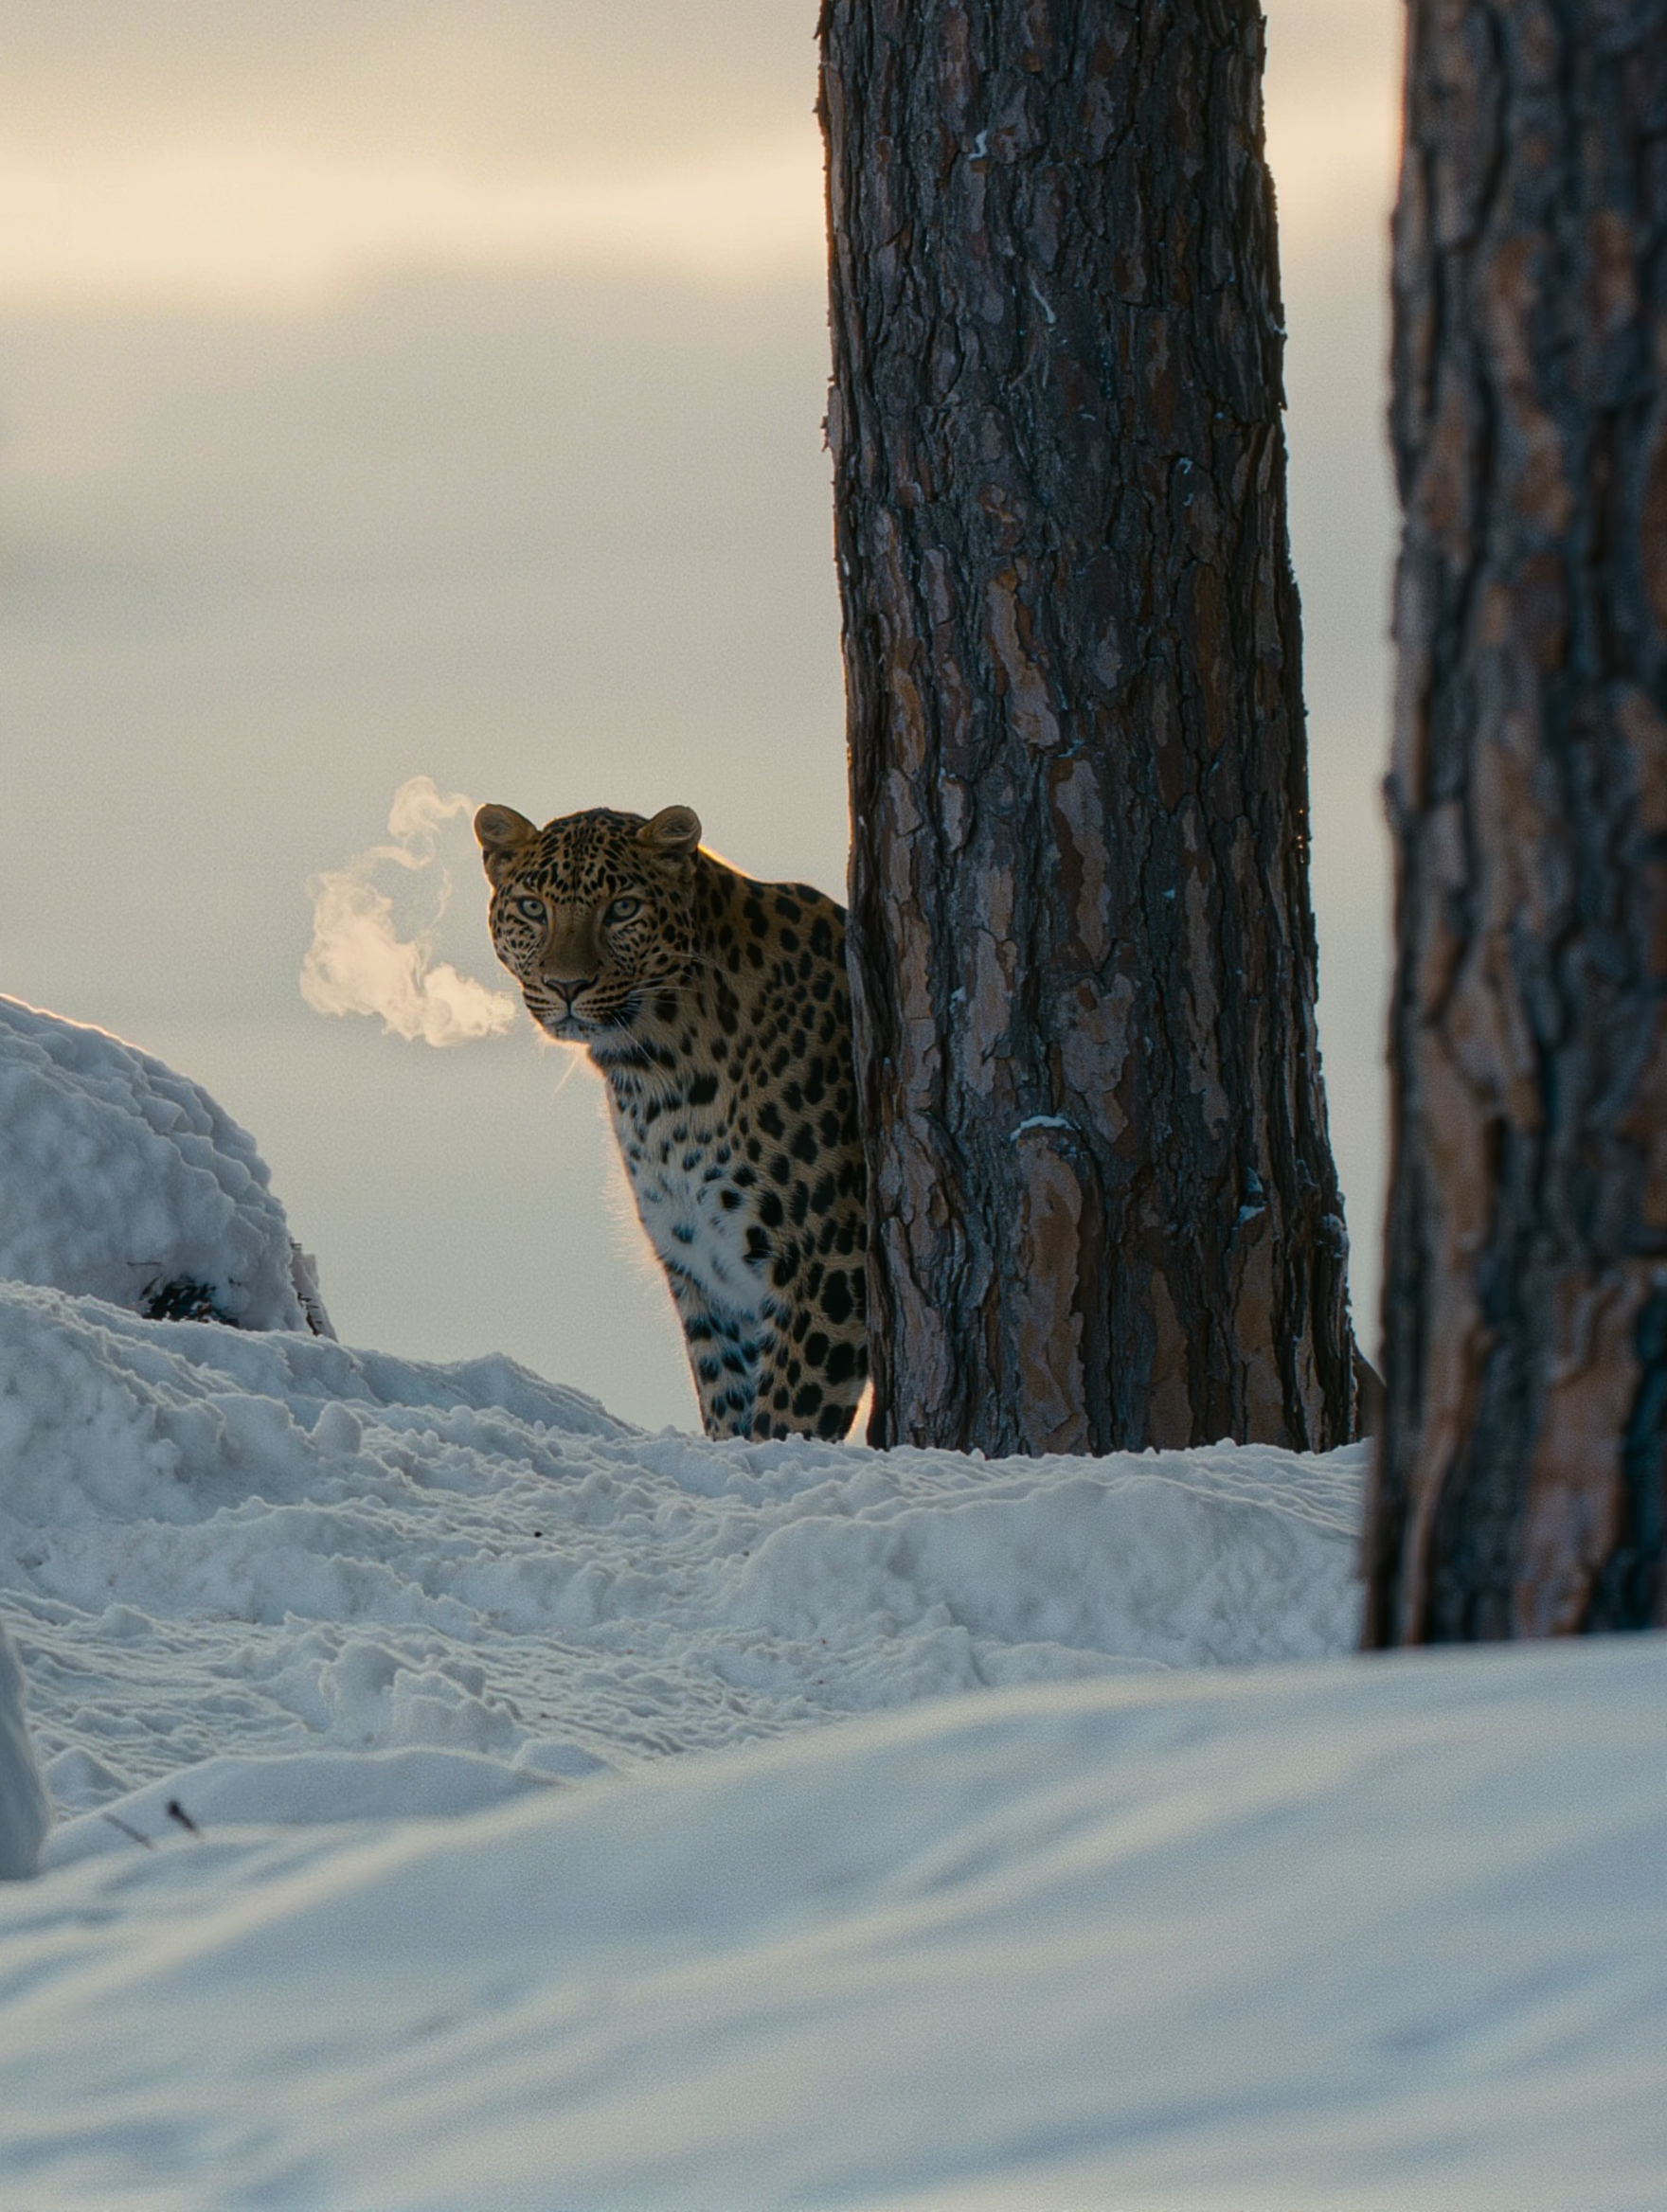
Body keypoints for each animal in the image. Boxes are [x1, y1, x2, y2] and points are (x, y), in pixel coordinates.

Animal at [475, 801, 868, 1443]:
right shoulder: (706, 1275)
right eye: (533, 908)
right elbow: (726, 1404)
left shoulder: (827, 1264)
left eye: (623, 909)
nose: (566, 985)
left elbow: (786, 1418)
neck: (656, 1075)